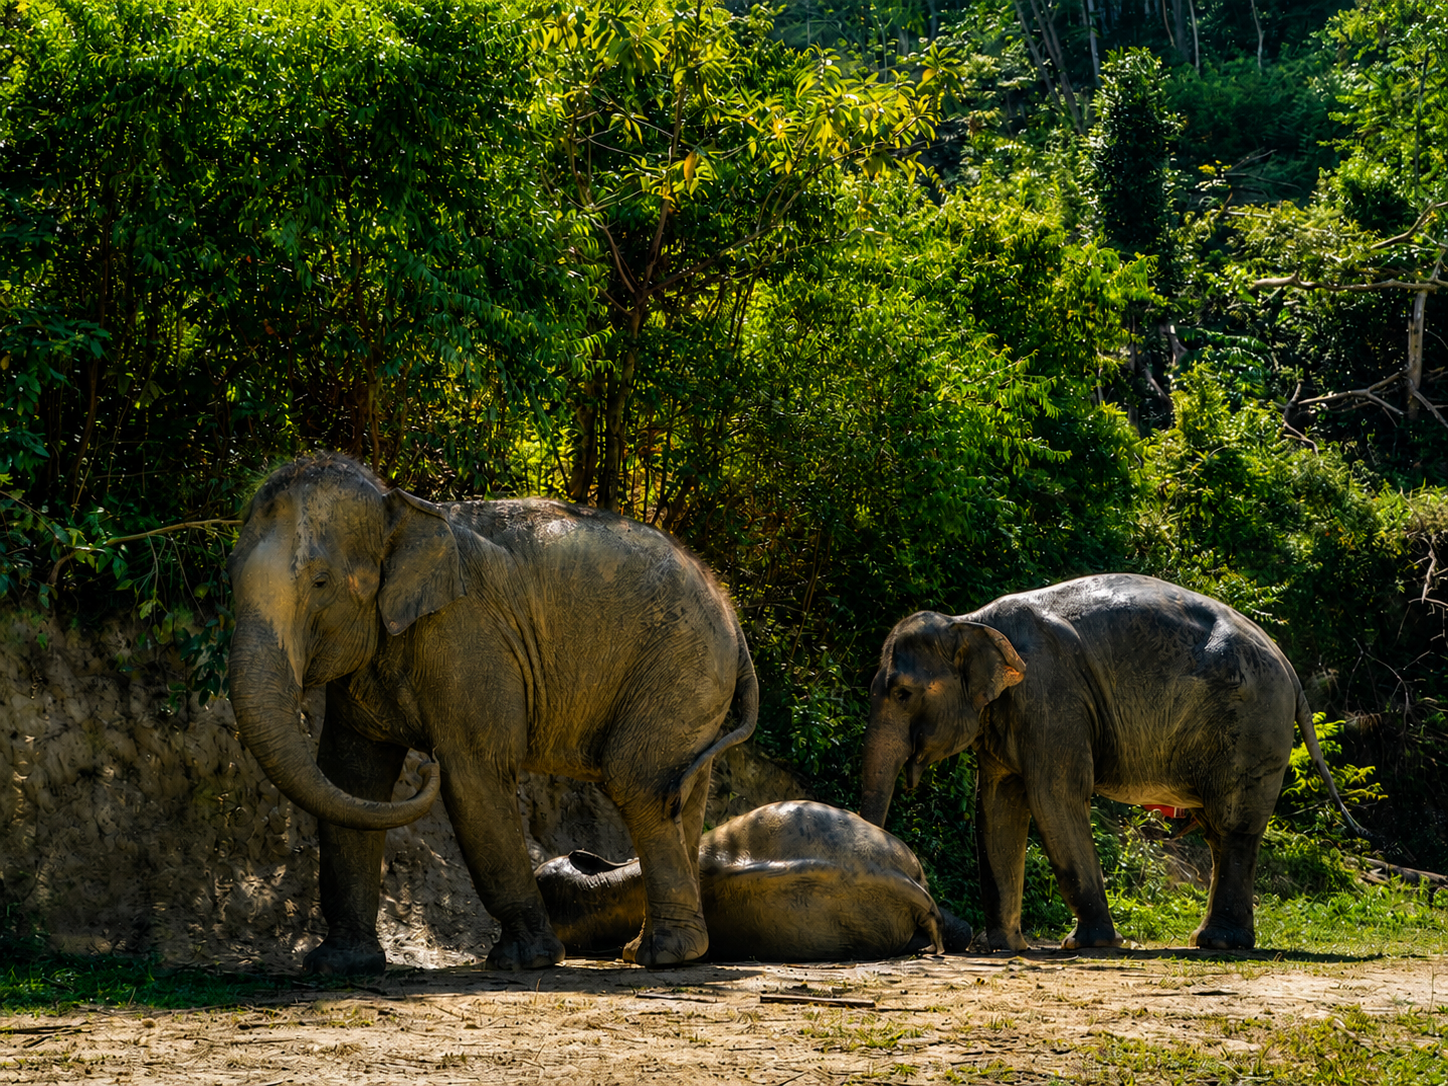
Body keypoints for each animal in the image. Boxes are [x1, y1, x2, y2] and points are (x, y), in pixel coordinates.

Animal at [226, 452, 757, 972]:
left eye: (320, 581)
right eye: (229, 576)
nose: (424, 767)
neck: (397, 504)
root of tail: (731, 611)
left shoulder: (466, 632)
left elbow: (473, 773)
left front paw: (526, 959)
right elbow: (351, 776)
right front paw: (339, 965)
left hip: (682, 664)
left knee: (638, 785)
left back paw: (659, 955)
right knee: (681, 793)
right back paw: (677, 951)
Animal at [859, 573, 1368, 952]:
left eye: (902, 693)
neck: (970, 622)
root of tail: (1290, 669)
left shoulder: (1050, 694)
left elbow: (1055, 795)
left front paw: (1085, 944)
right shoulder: (1008, 711)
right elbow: (998, 805)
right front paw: (1003, 947)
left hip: (1253, 720)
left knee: (1232, 826)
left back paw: (1219, 944)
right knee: (1219, 833)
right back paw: (1215, 941)